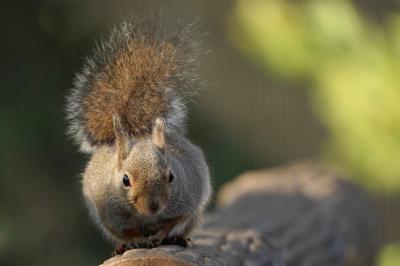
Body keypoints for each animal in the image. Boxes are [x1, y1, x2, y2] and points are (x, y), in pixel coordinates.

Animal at [65, 16, 212, 254]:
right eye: (125, 180)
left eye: (171, 176)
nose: (153, 206)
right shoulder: (111, 216)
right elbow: (127, 230)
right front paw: (137, 239)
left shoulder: (187, 202)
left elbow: (173, 221)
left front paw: (160, 234)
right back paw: (122, 247)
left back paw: (179, 238)